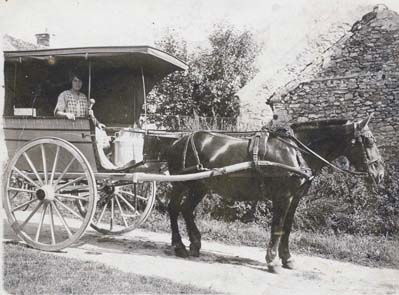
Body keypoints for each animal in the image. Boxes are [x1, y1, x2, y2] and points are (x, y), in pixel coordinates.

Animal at [165, 117, 384, 272]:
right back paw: (179, 246)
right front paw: (273, 261)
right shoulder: (283, 197)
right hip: (181, 184)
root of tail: (178, 141)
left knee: (186, 210)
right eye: (367, 141)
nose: (380, 174)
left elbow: (287, 228)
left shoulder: (295, 199)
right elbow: (277, 227)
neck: (296, 152)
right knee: (174, 208)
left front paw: (287, 258)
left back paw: (195, 244)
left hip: (199, 187)